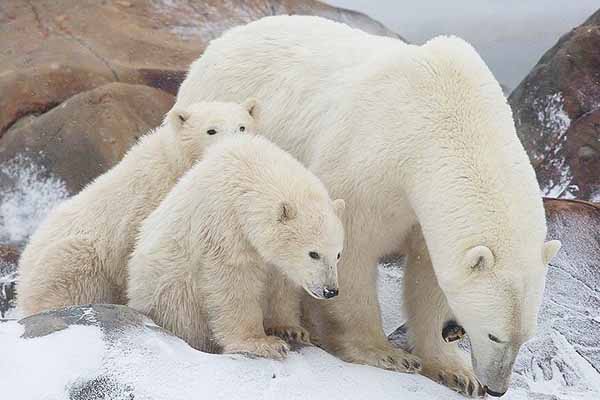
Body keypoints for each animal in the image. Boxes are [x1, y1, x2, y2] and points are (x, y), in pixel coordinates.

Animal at [16, 99, 258, 316]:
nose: (237, 143)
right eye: (211, 130)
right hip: (69, 262)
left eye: (242, 126)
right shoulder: (148, 202)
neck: (173, 163)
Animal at [127, 135, 344, 360]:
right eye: (313, 254)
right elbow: (232, 282)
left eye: (338, 254)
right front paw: (262, 343)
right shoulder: (223, 226)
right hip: (173, 293)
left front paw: (291, 330)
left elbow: (281, 284)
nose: (330, 290)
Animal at [173, 16, 564, 396]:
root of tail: (221, 41)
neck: (448, 114)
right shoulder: (372, 162)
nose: (496, 388)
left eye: (524, 337)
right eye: (492, 334)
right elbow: (352, 247)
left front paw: (455, 370)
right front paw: (384, 353)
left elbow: (430, 274)